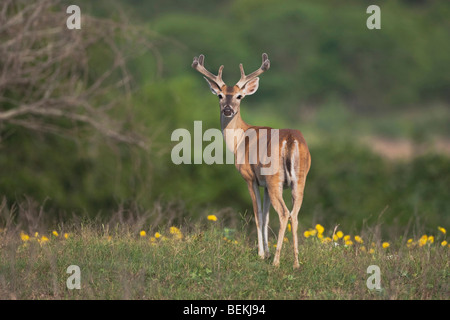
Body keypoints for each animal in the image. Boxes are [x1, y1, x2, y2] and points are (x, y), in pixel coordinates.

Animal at [192, 52, 312, 268]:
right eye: (220, 95)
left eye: (239, 96)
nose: (228, 110)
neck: (239, 140)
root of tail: (291, 139)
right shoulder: (264, 184)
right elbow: (266, 216)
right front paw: (266, 251)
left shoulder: (250, 177)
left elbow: (258, 215)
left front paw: (262, 254)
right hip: (299, 179)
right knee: (295, 214)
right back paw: (296, 262)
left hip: (274, 178)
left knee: (284, 213)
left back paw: (276, 262)